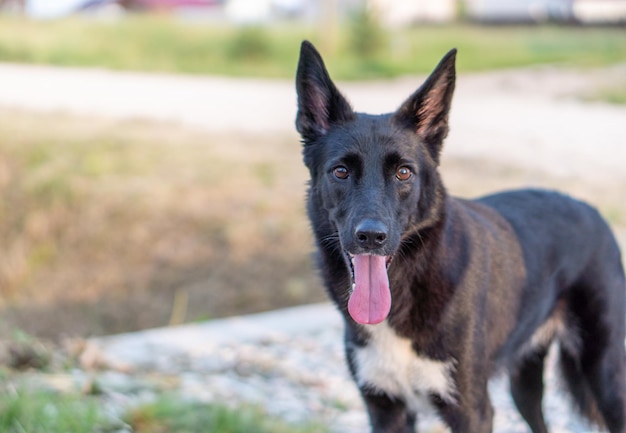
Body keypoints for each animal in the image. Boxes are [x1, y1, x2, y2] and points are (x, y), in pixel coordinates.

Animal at [294, 41, 624, 432]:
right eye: (341, 172)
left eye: (404, 173)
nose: (371, 237)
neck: (408, 284)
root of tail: (591, 209)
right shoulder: (385, 410)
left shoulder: (472, 410)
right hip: (524, 381)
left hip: (605, 375)